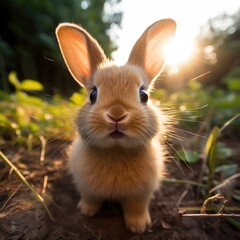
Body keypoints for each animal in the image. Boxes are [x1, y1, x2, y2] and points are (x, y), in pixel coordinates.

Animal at [56, 18, 176, 232]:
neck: (116, 150)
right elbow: (90, 199)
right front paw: (87, 211)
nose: (117, 115)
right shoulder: (87, 188)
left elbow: (136, 207)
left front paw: (138, 226)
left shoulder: (140, 195)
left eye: (144, 95)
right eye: (93, 94)